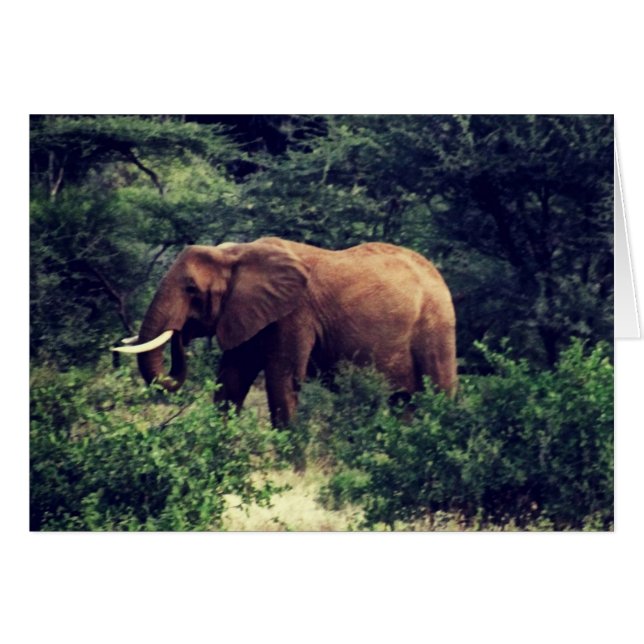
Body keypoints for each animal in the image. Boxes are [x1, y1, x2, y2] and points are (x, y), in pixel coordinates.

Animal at [114, 237, 457, 426]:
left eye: (191, 290)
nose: (180, 334)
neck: (235, 254)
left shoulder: (294, 314)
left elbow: (284, 381)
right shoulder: (247, 311)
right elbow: (231, 380)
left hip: (437, 325)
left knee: (439, 393)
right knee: (402, 403)